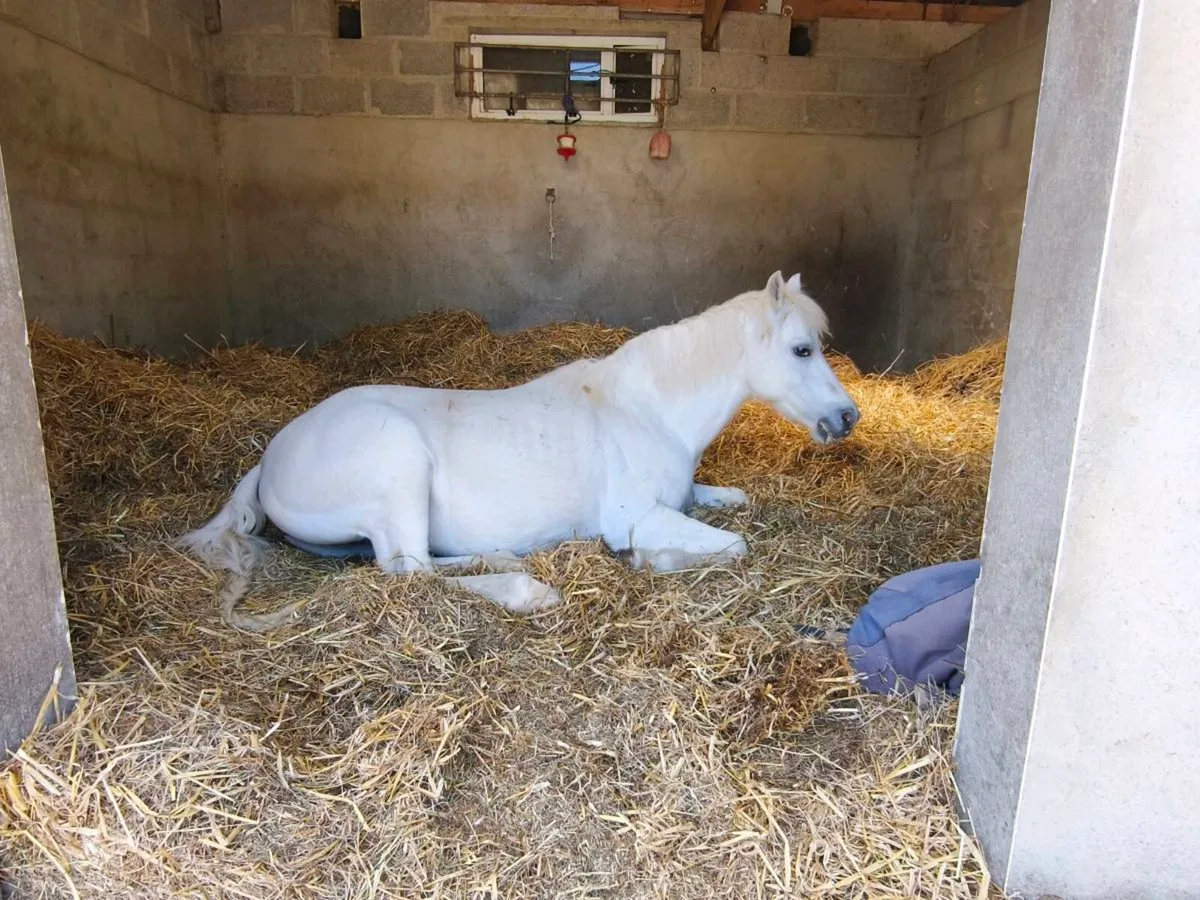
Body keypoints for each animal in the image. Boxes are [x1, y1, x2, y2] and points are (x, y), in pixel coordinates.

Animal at [177, 271, 860, 630]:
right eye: (802, 349)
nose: (848, 417)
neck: (646, 412)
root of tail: (269, 458)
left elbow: (729, 502)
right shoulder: (635, 518)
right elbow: (733, 546)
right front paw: (649, 562)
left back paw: (506, 557)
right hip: (399, 466)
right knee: (412, 572)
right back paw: (526, 590)